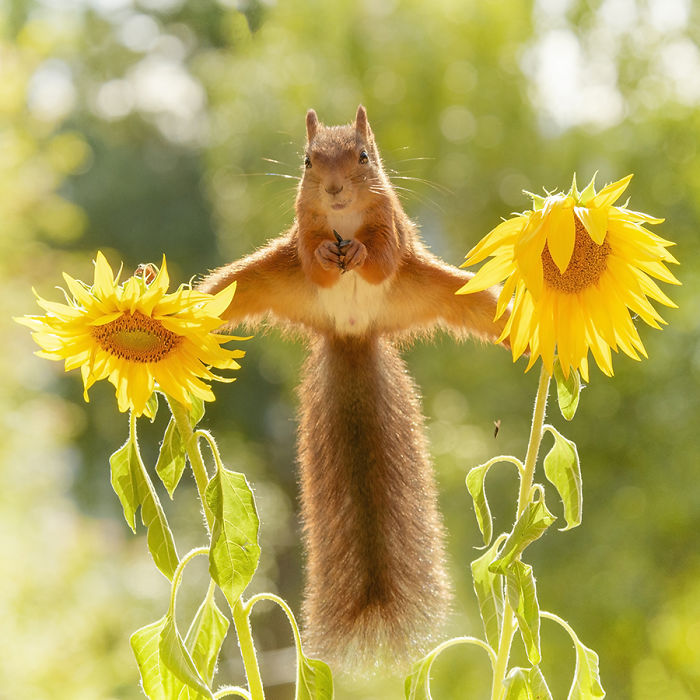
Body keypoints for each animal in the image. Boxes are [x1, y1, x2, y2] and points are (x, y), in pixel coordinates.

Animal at [197, 105, 508, 672]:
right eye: (307, 161)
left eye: (365, 156)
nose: (336, 189)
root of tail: (353, 332)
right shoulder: (303, 228)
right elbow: (313, 256)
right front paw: (328, 253)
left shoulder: (393, 227)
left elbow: (380, 256)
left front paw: (359, 250)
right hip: (253, 281)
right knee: (219, 293)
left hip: (437, 288)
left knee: (482, 309)